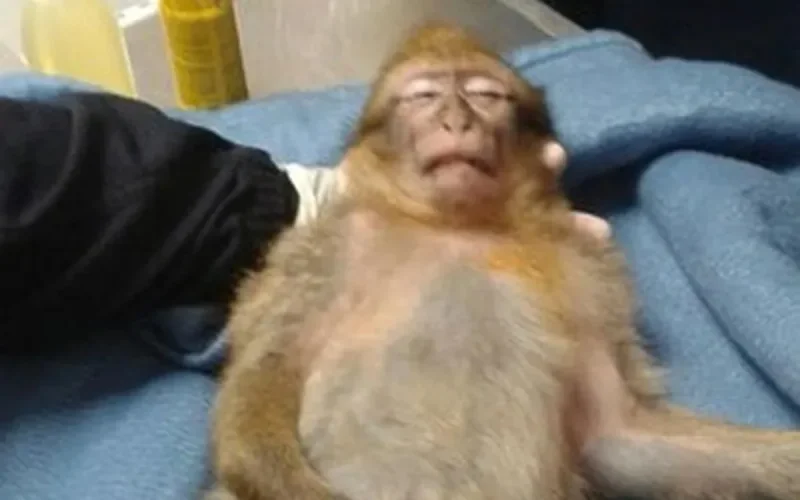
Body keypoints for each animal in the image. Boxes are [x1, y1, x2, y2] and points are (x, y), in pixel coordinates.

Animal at [207, 21, 800, 500]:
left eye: (484, 94)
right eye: (423, 95)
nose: (455, 119)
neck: (459, 227)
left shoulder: (586, 278)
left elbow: (616, 432)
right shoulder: (324, 251)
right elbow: (265, 371)